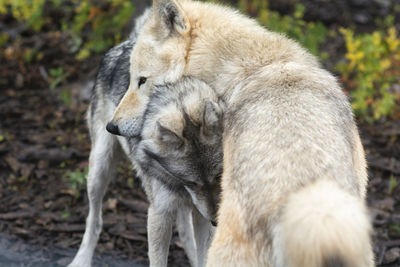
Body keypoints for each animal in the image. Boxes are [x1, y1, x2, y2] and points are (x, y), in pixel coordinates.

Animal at [67, 9, 223, 266]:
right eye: (192, 182)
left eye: (219, 176)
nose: (216, 221)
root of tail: (129, 43)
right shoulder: (158, 213)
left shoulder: (199, 212)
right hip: (98, 172)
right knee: (94, 220)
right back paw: (81, 259)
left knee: (184, 229)